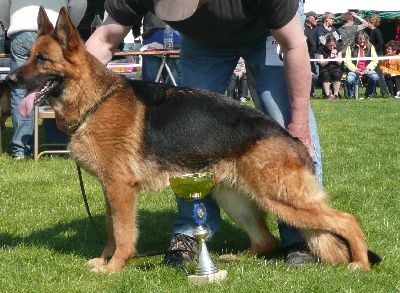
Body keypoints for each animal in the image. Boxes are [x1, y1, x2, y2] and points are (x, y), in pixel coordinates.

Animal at [7, 6, 380, 272]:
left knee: (345, 220)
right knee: (266, 242)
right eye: (28, 57)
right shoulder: (110, 190)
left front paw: (114, 268)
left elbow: (124, 234)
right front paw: (104, 260)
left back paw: (360, 263)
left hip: (282, 199)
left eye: (42, 59)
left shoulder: (120, 189)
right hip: (235, 199)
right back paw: (233, 260)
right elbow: (112, 230)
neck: (95, 100)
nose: (9, 80)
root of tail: (289, 139)